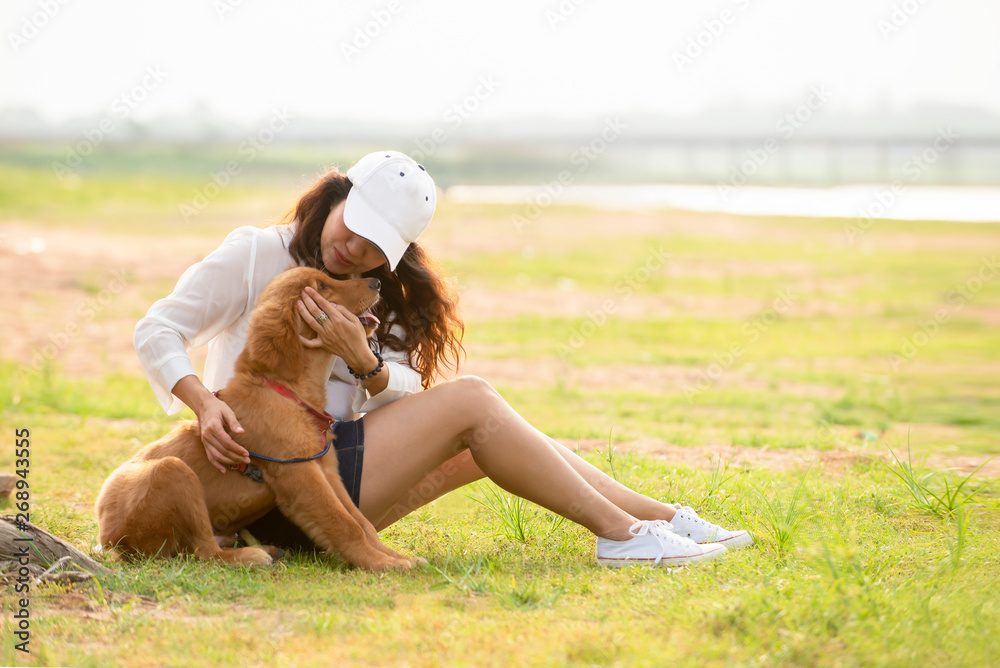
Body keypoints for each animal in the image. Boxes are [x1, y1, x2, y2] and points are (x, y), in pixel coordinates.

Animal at [96, 266, 418, 568]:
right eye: (323, 286)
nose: (377, 282)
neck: (288, 390)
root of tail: (107, 539)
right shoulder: (299, 473)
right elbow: (343, 523)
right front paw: (381, 563)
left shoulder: (325, 467)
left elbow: (361, 521)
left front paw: (393, 555)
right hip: (171, 471)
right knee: (205, 551)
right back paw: (250, 556)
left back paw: (265, 548)